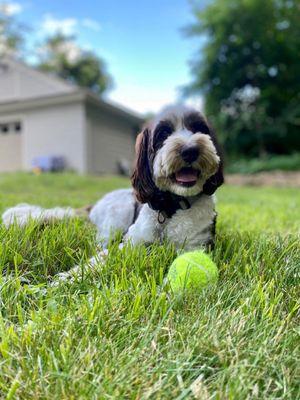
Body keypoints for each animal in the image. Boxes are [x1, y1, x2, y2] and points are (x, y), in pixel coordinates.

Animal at [1, 104, 223, 282]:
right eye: (163, 134)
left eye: (200, 129)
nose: (190, 150)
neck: (170, 207)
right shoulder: (131, 243)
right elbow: (103, 257)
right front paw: (70, 276)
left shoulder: (195, 246)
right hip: (119, 216)